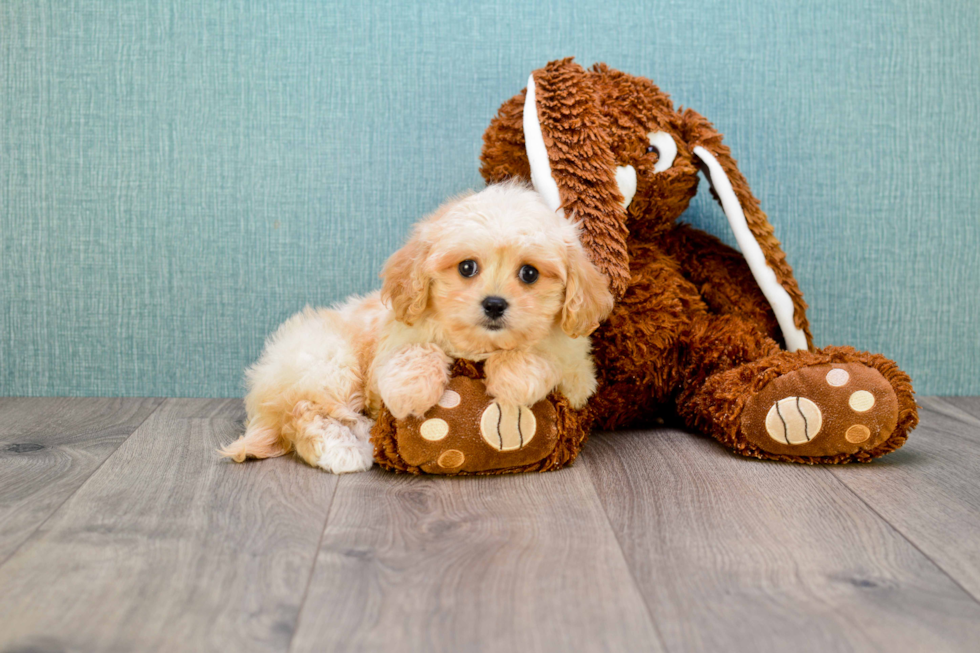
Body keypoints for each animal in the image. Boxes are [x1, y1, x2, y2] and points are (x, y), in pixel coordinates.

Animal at [222, 183, 612, 474]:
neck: (478, 348)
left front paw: (514, 379)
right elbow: (414, 351)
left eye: (529, 273)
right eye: (467, 267)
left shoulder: (579, 374)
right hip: (328, 363)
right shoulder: (391, 347)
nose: (494, 304)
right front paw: (412, 391)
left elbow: (543, 354)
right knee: (305, 414)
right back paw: (345, 449)